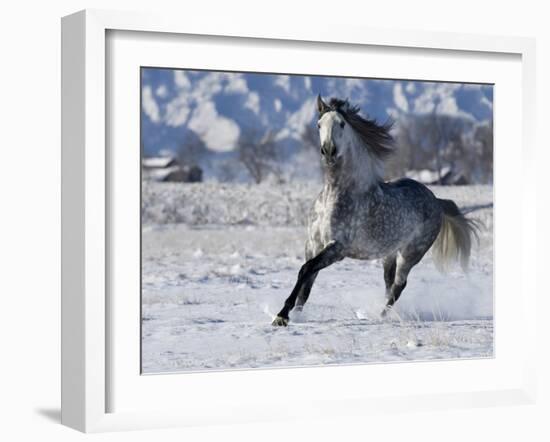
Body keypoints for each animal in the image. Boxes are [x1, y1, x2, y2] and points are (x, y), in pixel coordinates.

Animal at [274, 95, 480, 326]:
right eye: (319, 124)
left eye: (342, 124)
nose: (328, 151)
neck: (336, 195)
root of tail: (436, 201)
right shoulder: (312, 244)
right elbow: (306, 283)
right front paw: (295, 314)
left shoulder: (337, 248)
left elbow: (306, 269)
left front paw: (282, 315)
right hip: (389, 254)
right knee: (389, 284)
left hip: (411, 253)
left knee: (398, 286)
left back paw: (379, 315)